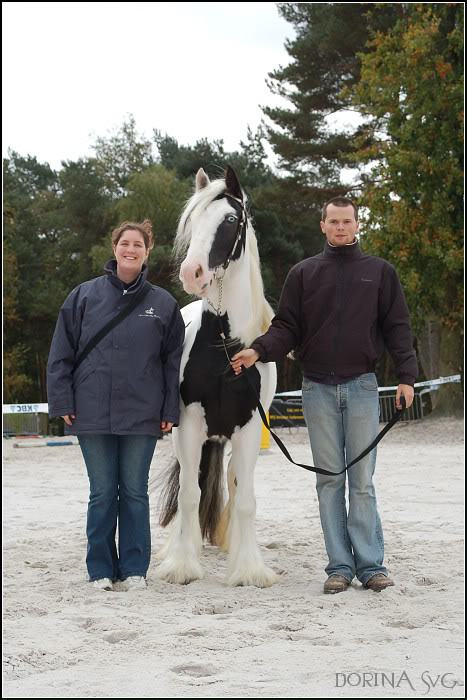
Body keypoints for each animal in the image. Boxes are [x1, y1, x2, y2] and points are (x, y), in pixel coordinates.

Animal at [157, 167, 280, 588]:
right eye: (192, 222)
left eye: (229, 220)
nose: (192, 273)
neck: (225, 344)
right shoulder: (189, 424)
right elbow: (190, 495)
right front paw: (181, 564)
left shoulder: (248, 428)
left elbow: (245, 499)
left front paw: (249, 570)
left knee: (233, 481)